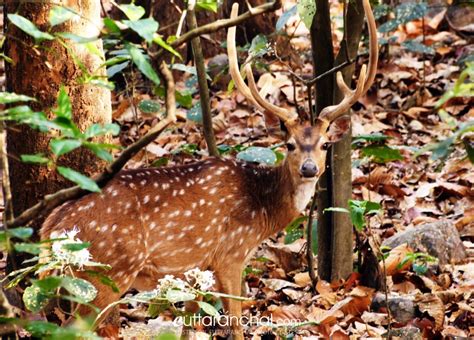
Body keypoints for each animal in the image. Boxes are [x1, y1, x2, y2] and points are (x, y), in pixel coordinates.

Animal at [39, 0, 378, 336]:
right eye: (290, 144)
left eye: (325, 145)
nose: (309, 169)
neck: (263, 210)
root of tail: (50, 228)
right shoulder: (230, 253)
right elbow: (236, 322)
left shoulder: (198, 267)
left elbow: (190, 322)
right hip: (108, 271)